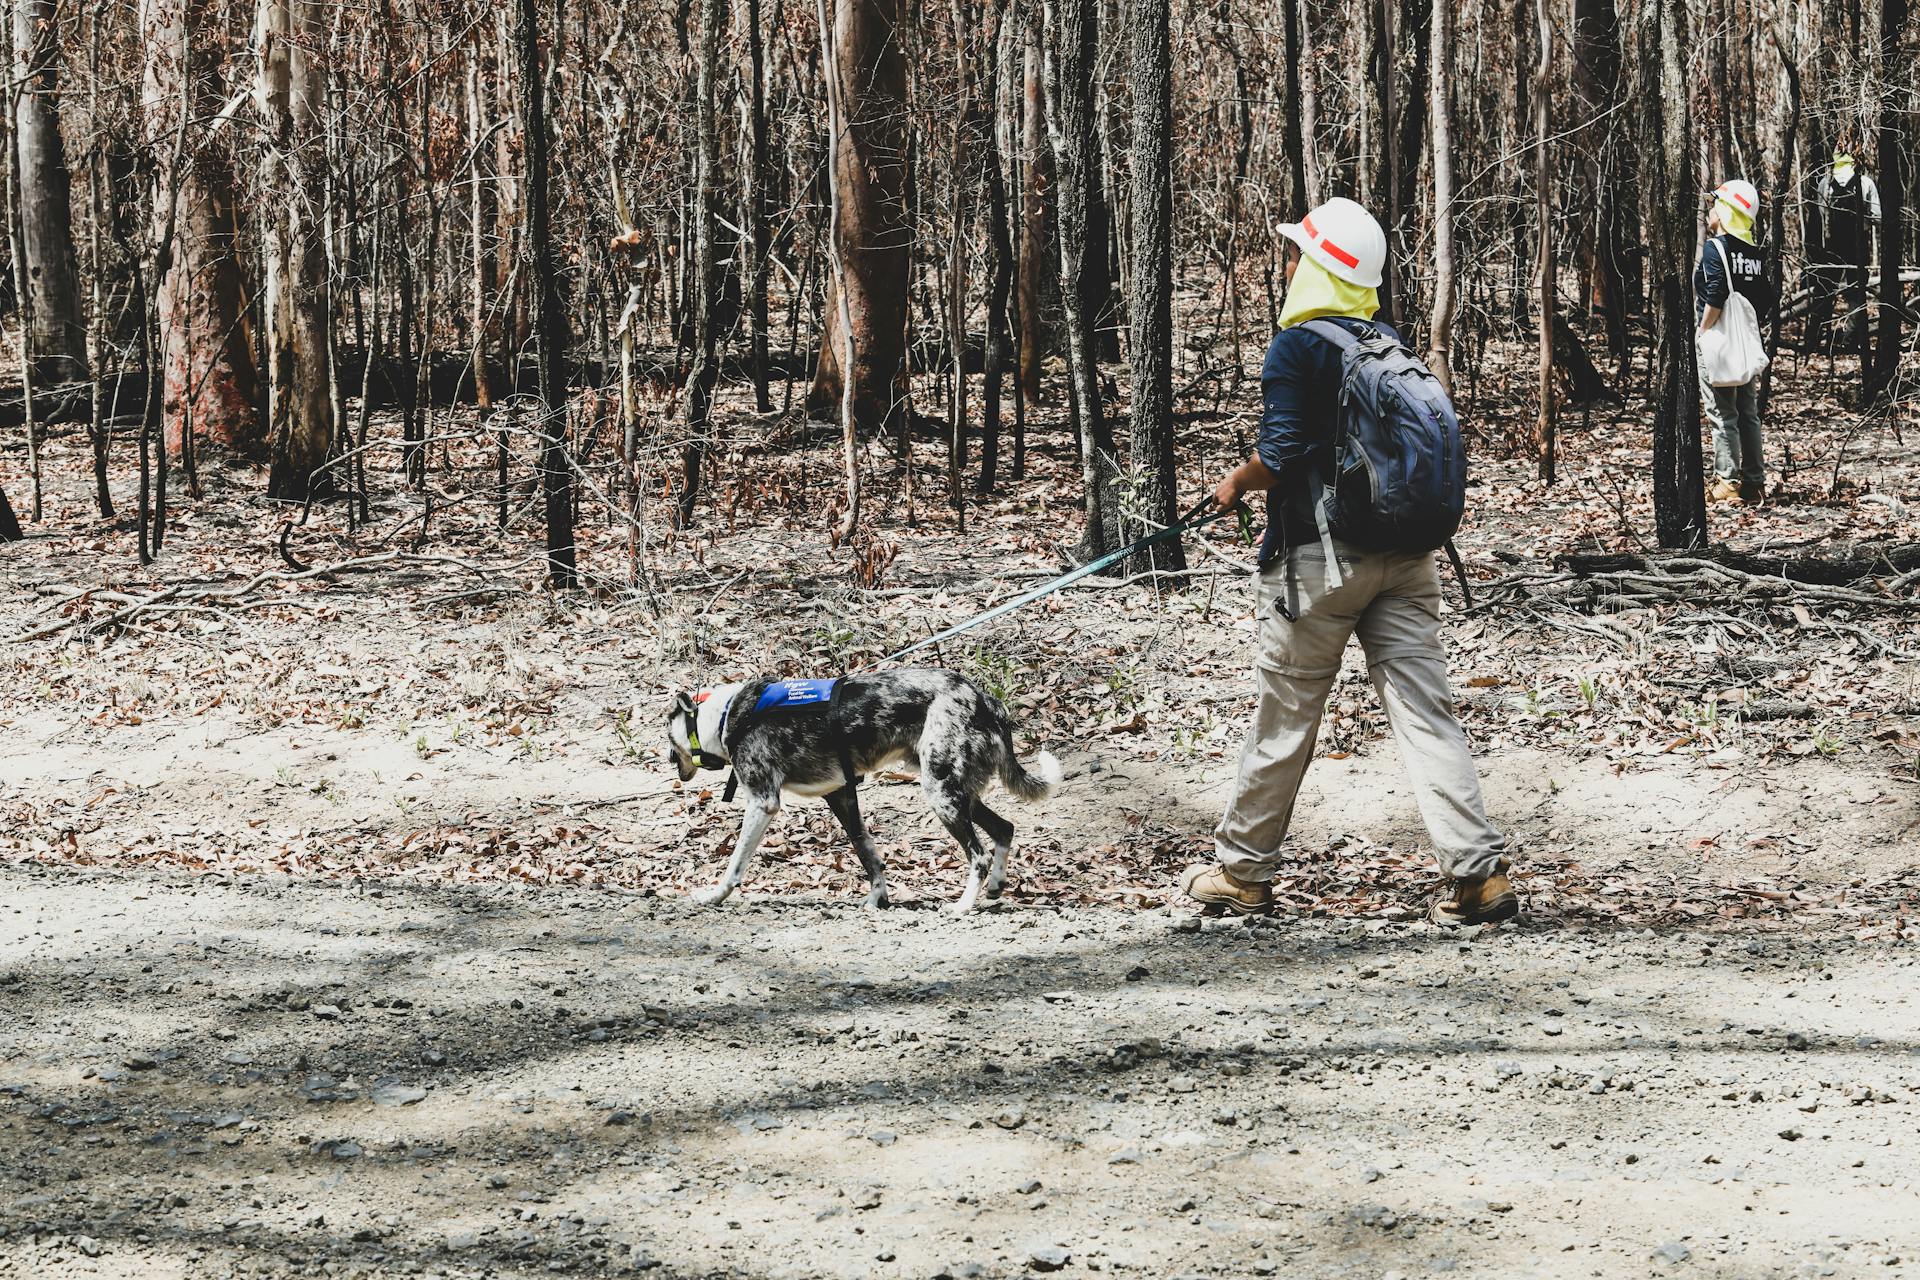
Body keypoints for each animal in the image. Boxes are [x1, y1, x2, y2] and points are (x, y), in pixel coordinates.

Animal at [668, 671, 1067, 909]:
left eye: (667, 736)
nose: (671, 762)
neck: (726, 717)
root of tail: (985, 699)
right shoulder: (842, 797)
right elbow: (869, 856)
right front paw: (877, 900)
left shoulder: (762, 803)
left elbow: (735, 863)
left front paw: (714, 896)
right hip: (961, 796)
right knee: (1004, 829)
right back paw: (996, 886)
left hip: (942, 795)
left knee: (978, 856)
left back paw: (962, 905)